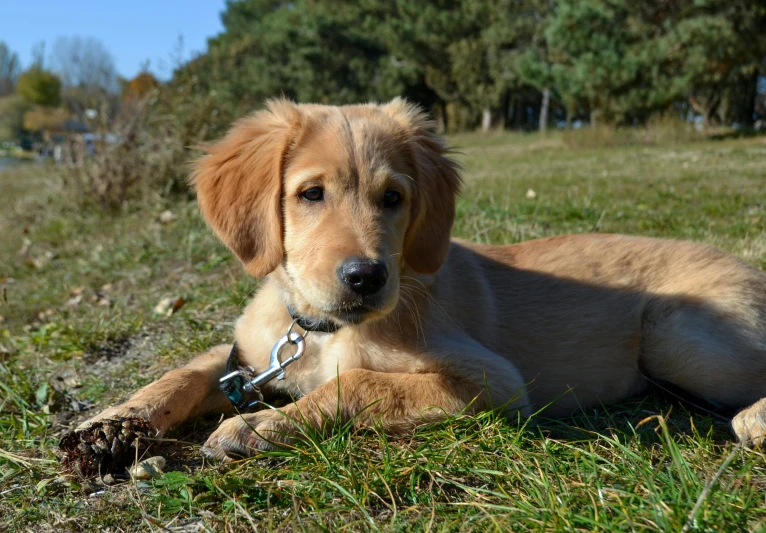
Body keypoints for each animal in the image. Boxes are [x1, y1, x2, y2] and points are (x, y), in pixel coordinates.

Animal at [81, 96, 766, 458]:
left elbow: (357, 383)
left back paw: (753, 421)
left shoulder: (494, 382)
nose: (365, 277)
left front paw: (258, 425)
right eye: (311, 194)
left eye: (393, 199)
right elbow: (186, 370)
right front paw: (112, 424)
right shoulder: (248, 354)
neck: (319, 331)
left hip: (678, 337)